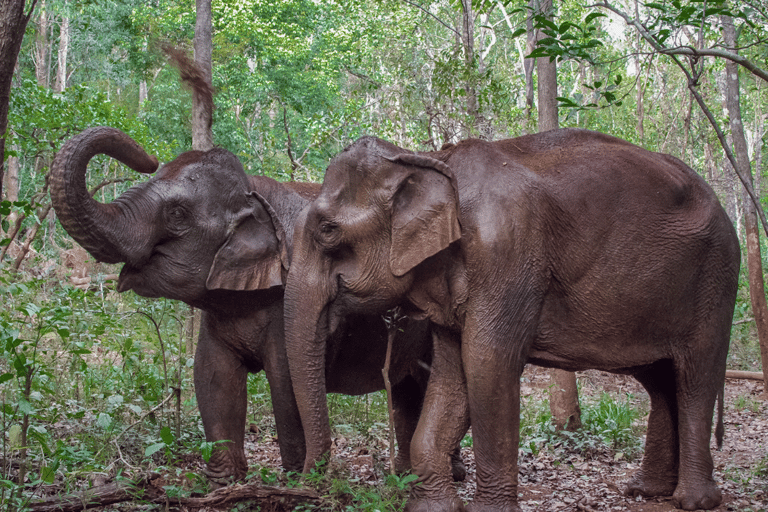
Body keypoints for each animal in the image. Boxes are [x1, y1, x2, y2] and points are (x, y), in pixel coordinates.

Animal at [49, 126, 465, 484]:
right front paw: (223, 484)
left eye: (177, 215)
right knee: (407, 389)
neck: (253, 189)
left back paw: (449, 475)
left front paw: (295, 480)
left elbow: (285, 381)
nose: (148, 158)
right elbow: (212, 377)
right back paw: (408, 475)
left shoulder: (286, 297)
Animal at [283, 128, 741, 512]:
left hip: (717, 280)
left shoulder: (507, 253)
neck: (430, 160)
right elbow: (451, 376)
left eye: (327, 231)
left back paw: (694, 501)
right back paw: (646, 491)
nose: (308, 486)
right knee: (661, 380)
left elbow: (487, 365)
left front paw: (486, 511)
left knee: (695, 376)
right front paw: (433, 508)